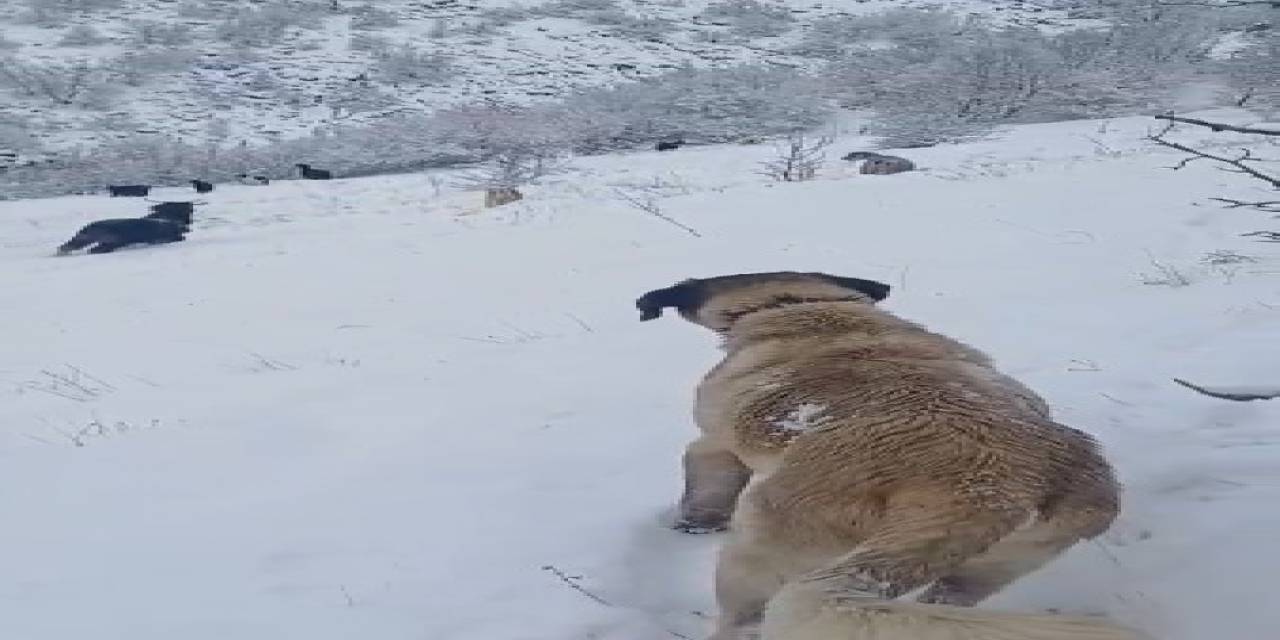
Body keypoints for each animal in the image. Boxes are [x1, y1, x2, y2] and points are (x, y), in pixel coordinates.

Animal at [634, 272, 1146, 640]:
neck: (804, 305)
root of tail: (990, 493)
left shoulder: (715, 442)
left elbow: (701, 471)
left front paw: (692, 522)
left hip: (761, 552)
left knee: (743, 620)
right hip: (987, 570)